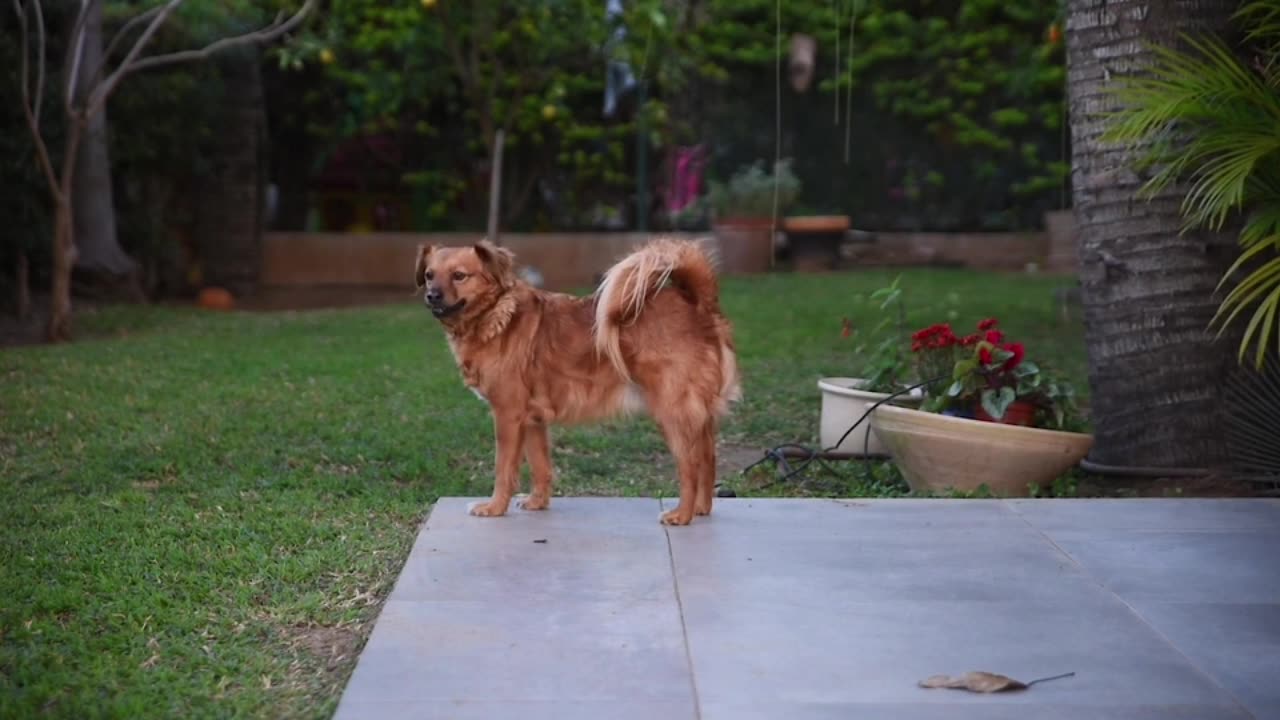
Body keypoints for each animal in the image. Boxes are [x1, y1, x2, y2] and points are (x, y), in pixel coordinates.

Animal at [417, 238, 742, 525]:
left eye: (459, 276)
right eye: (429, 275)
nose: (431, 295)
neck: (496, 314)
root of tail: (698, 304)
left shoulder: (508, 416)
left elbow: (503, 469)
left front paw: (494, 507)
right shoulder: (532, 421)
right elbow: (540, 466)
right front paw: (537, 502)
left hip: (672, 413)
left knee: (690, 466)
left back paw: (682, 515)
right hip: (698, 418)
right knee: (708, 459)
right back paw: (700, 508)